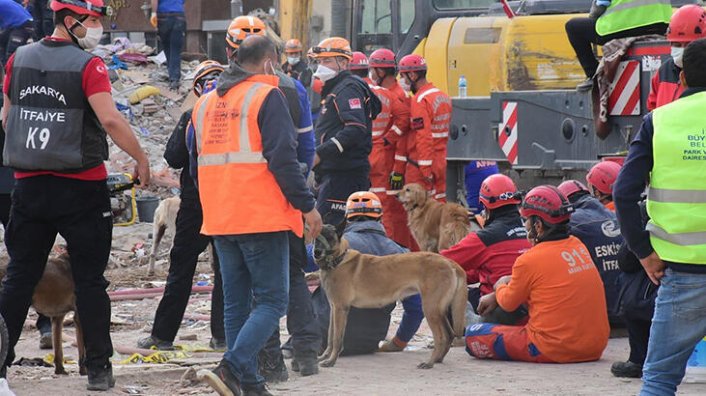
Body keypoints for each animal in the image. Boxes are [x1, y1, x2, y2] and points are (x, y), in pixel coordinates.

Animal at [314, 224, 468, 370]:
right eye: (316, 237)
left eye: (329, 237)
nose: (316, 252)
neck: (338, 260)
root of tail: (448, 261)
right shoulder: (334, 308)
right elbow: (330, 337)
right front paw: (324, 357)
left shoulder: (341, 309)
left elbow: (336, 339)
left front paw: (331, 361)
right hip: (438, 310)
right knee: (449, 334)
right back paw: (438, 359)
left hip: (430, 309)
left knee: (441, 337)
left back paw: (429, 362)